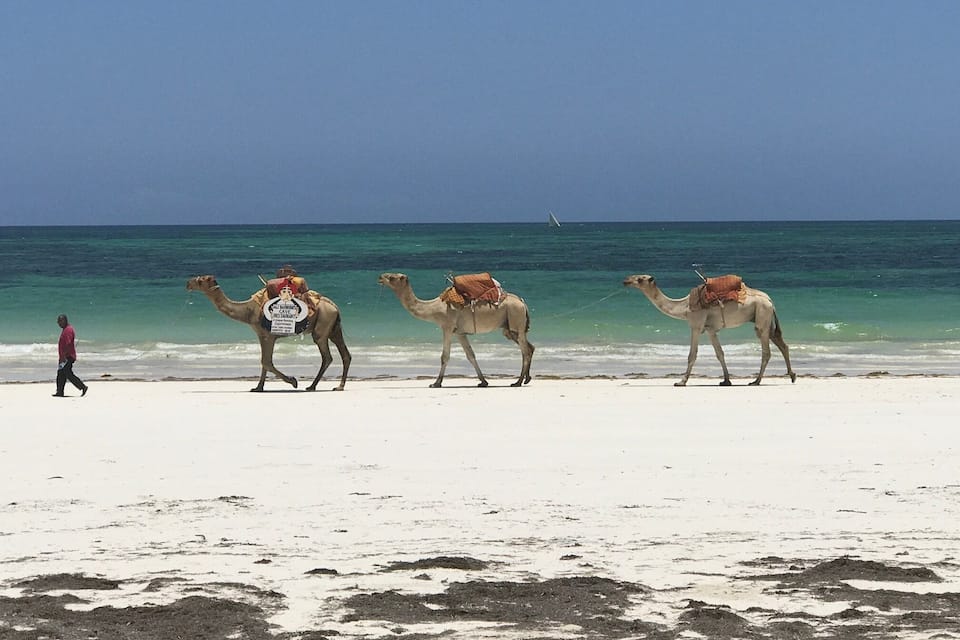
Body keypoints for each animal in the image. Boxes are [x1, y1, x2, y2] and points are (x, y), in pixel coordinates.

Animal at [186, 275, 351, 392]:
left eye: (200, 280)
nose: (188, 283)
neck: (248, 310)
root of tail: (335, 306)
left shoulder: (268, 335)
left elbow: (266, 361)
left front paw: (293, 381)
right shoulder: (261, 335)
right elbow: (264, 362)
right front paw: (258, 388)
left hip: (322, 326)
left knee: (327, 356)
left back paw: (312, 386)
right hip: (334, 328)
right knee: (345, 354)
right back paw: (338, 386)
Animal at [378, 272, 534, 388]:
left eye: (392, 277)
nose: (380, 277)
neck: (435, 308)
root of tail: (522, 301)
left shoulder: (447, 327)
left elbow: (444, 356)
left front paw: (436, 383)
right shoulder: (459, 333)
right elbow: (471, 355)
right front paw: (483, 382)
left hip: (516, 319)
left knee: (525, 350)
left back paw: (517, 382)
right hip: (510, 328)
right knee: (528, 347)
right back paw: (525, 379)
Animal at [623, 274, 796, 386]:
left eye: (640, 279)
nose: (626, 280)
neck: (684, 307)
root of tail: (770, 300)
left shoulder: (696, 325)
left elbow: (692, 355)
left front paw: (681, 381)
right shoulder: (711, 329)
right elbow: (720, 354)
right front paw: (726, 381)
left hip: (762, 315)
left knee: (766, 350)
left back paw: (756, 381)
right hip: (767, 319)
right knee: (782, 344)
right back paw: (792, 376)